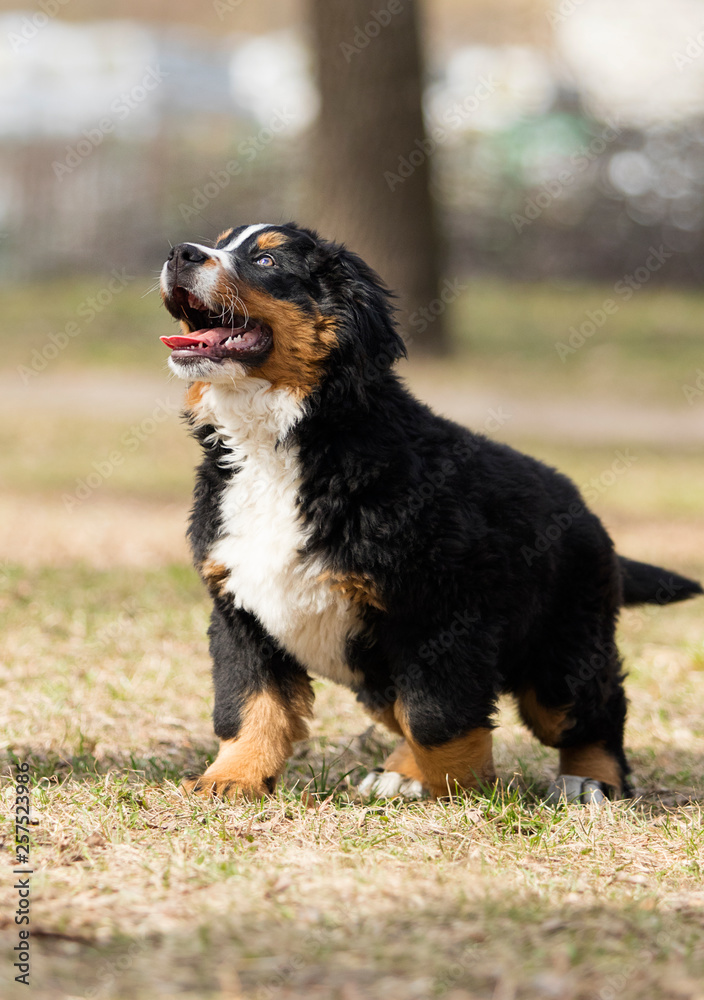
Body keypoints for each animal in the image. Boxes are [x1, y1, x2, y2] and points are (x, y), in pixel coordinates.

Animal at [161, 221, 704, 804]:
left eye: (266, 261)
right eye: (220, 242)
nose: (179, 253)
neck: (279, 442)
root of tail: (584, 510)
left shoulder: (443, 613)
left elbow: (436, 716)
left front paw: (464, 790)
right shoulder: (241, 612)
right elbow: (249, 706)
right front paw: (231, 779)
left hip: (563, 650)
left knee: (594, 712)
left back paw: (589, 782)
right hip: (374, 670)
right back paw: (401, 773)